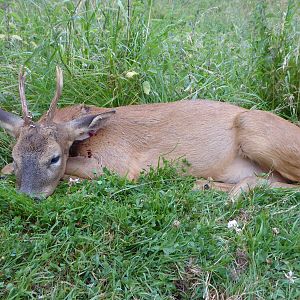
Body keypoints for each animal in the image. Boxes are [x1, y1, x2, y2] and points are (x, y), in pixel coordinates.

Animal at [0, 68, 298, 199]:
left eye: (54, 158)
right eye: (15, 156)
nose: (28, 196)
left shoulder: (118, 165)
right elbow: (4, 168)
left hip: (254, 129)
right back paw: (206, 185)